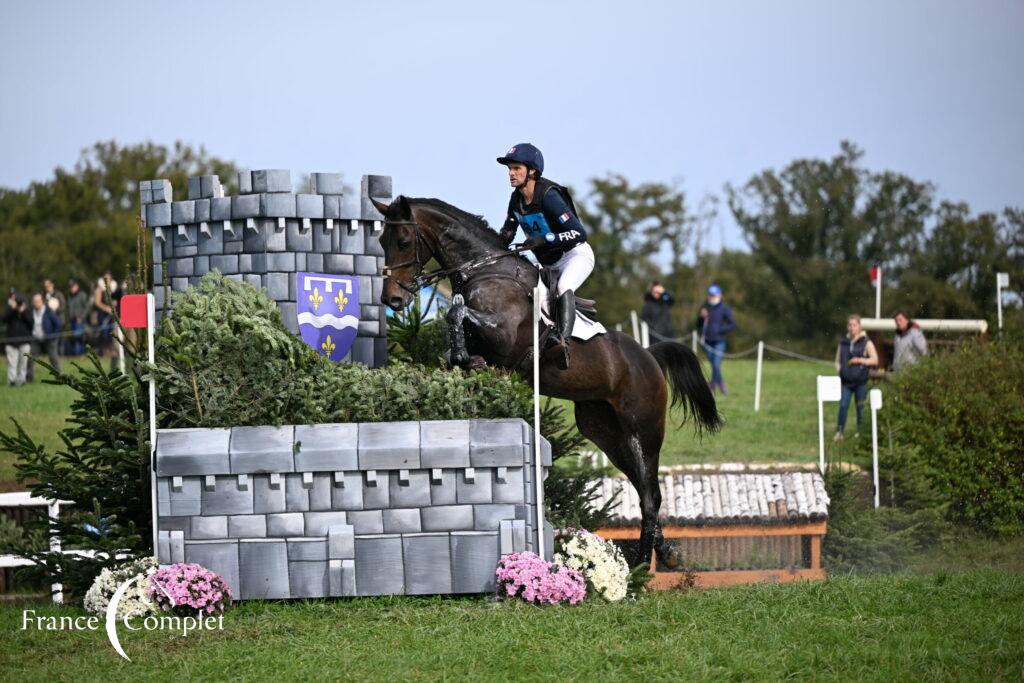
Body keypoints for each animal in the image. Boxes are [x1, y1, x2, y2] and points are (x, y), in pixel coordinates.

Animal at [374, 194, 720, 565]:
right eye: (381, 241)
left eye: (403, 241)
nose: (393, 299)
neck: (484, 270)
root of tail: (649, 356)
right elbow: (456, 326)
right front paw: (462, 358)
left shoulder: (503, 335)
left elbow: (457, 311)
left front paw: (466, 355)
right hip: (605, 432)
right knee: (643, 489)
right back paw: (660, 553)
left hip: (644, 430)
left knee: (651, 491)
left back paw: (643, 561)